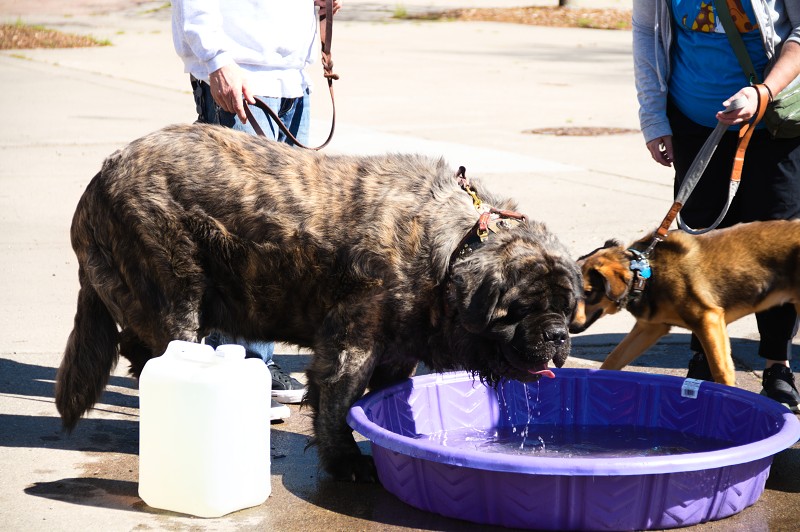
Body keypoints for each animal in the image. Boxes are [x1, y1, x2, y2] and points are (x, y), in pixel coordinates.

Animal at [56, 123, 582, 481]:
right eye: (523, 307)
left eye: (565, 305)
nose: (557, 335)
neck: (456, 247)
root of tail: (100, 176)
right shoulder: (353, 341)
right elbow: (338, 399)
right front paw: (346, 459)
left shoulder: (400, 348)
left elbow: (388, 396)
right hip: (175, 287)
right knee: (156, 340)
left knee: (133, 342)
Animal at [569, 220, 800, 386]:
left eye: (589, 293)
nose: (570, 327)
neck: (645, 273)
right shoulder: (650, 327)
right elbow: (613, 359)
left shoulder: (708, 319)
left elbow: (721, 371)